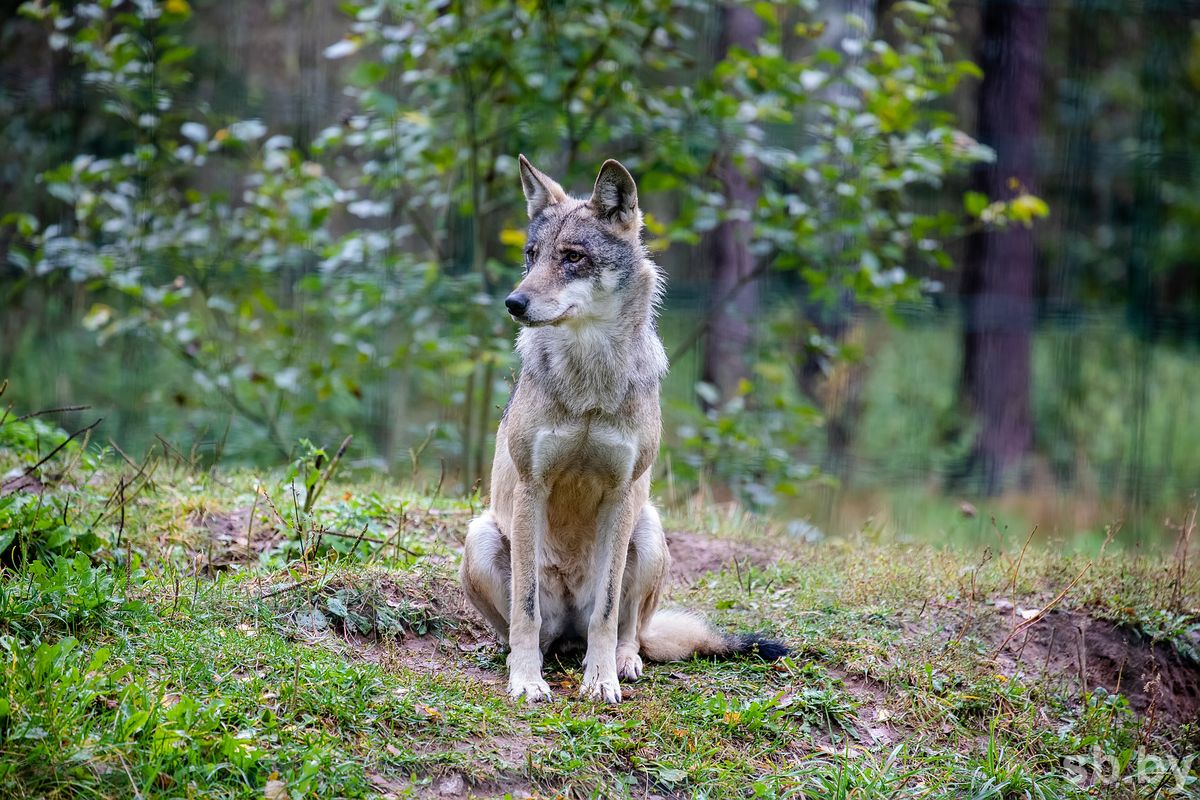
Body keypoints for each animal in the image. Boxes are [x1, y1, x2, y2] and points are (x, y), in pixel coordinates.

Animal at [458, 154, 787, 700]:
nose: (513, 303)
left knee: (629, 629)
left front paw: (601, 681)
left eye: (572, 257)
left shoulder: (621, 490)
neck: (590, 383)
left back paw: (624, 660)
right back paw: (526, 658)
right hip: (480, 535)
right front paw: (526, 681)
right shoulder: (531, 486)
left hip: (648, 527)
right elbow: (525, 611)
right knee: (532, 631)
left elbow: (608, 613)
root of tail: (566, 633)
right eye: (532, 255)